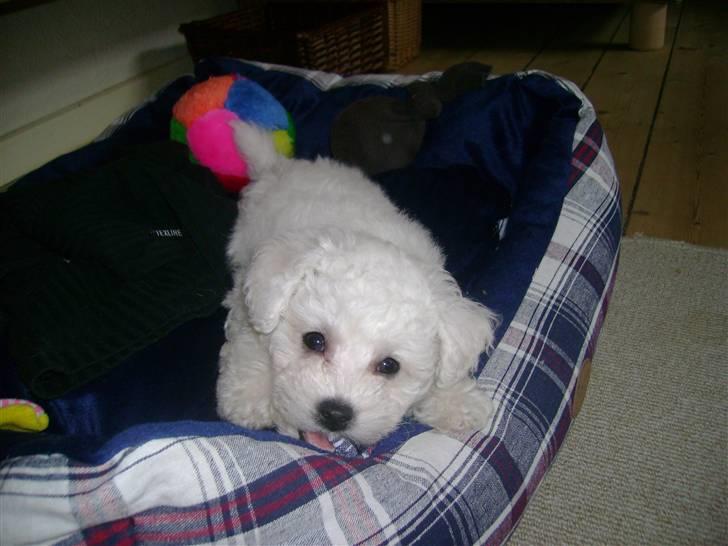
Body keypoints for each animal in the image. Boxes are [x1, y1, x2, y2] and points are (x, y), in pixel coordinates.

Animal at [216, 119, 498, 446]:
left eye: (389, 365)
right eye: (314, 340)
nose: (335, 413)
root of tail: (278, 166)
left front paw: (457, 401)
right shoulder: (248, 299)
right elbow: (250, 345)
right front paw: (249, 397)